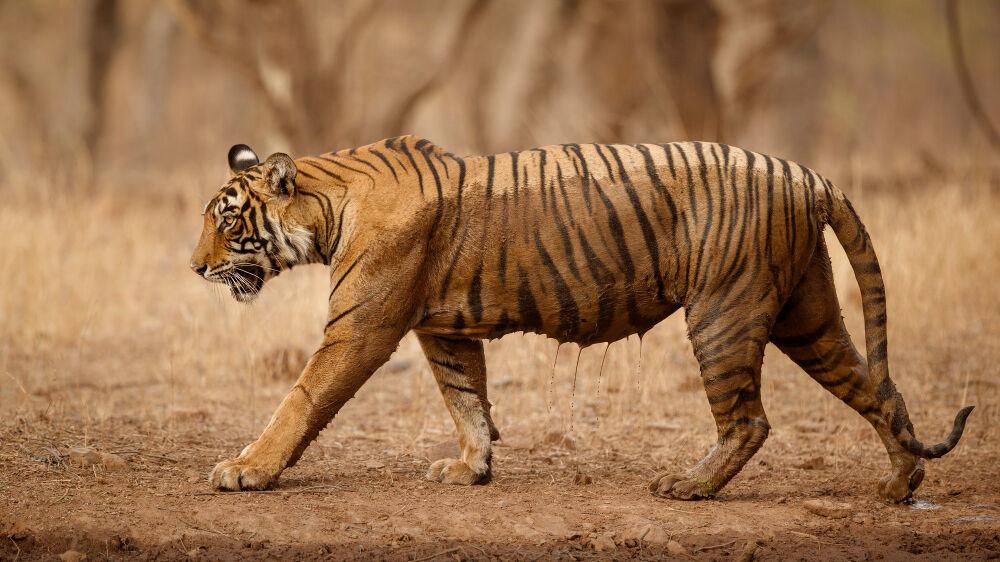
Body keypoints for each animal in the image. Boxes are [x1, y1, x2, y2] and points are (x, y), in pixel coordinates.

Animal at [190, 136, 973, 502]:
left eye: (227, 223)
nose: (195, 268)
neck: (327, 207)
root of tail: (806, 174)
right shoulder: (442, 329)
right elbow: (466, 398)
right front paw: (473, 467)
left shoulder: (362, 325)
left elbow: (302, 399)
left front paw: (245, 470)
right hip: (805, 315)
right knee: (877, 388)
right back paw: (899, 484)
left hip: (724, 310)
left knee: (750, 419)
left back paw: (689, 487)